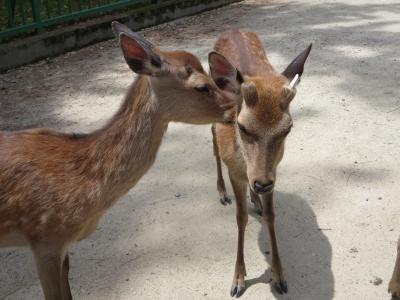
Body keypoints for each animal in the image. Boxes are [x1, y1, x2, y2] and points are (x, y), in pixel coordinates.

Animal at [209, 29, 312, 296]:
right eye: (243, 126)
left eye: (288, 128)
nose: (262, 184)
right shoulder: (235, 171)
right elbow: (240, 217)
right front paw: (237, 280)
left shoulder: (272, 170)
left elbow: (271, 215)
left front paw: (280, 277)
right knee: (212, 141)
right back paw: (222, 192)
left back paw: (254, 199)